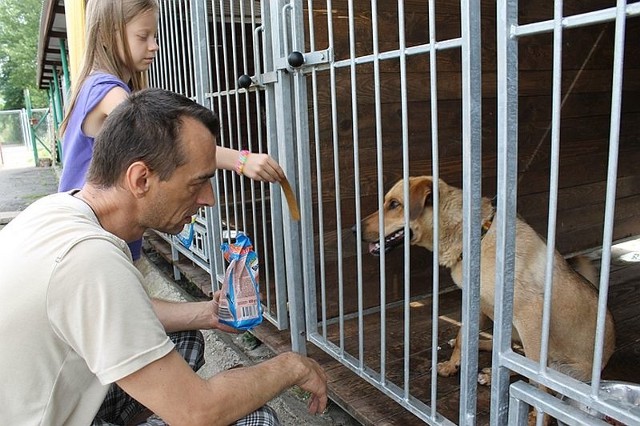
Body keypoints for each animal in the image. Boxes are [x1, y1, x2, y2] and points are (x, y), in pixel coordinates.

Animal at [360, 176, 616, 382]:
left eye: (395, 204)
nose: (354, 230)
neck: (476, 238)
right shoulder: (475, 302)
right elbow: (463, 337)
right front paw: (452, 365)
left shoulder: (531, 313)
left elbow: (534, 377)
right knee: (509, 349)